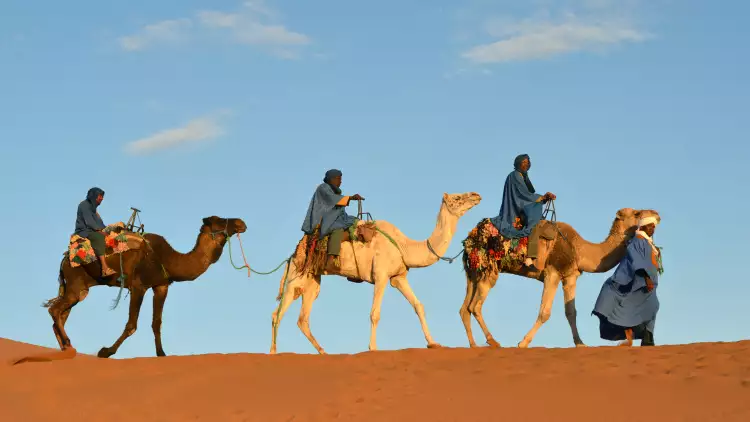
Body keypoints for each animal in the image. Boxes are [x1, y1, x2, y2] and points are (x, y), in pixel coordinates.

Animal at [41, 216, 247, 358]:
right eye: (219, 221)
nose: (241, 223)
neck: (167, 259)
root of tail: (65, 259)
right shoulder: (139, 285)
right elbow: (132, 324)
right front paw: (105, 351)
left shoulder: (161, 286)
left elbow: (157, 323)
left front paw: (162, 354)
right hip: (75, 282)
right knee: (55, 310)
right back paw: (68, 345)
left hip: (79, 289)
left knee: (61, 314)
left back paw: (66, 348)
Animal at [274, 193, 484, 354]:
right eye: (457, 198)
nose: (476, 195)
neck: (404, 246)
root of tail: (292, 255)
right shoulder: (380, 276)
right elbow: (375, 314)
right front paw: (373, 348)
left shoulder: (398, 278)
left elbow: (419, 306)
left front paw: (433, 343)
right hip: (296, 277)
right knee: (277, 314)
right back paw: (273, 352)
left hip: (312, 282)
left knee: (302, 319)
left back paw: (323, 352)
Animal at [462, 208, 660, 350]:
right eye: (637, 213)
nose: (656, 214)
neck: (579, 250)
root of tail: (469, 239)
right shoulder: (552, 273)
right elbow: (545, 312)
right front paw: (523, 343)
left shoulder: (570, 276)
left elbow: (571, 312)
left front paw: (580, 343)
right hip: (489, 270)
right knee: (475, 306)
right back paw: (493, 341)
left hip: (473, 273)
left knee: (465, 308)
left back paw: (474, 345)